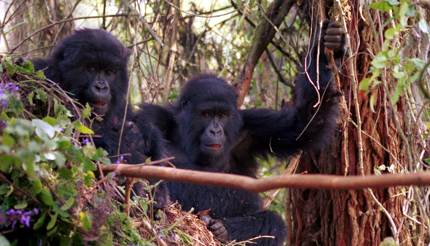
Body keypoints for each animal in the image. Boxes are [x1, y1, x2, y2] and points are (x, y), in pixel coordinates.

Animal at [32, 28, 163, 163]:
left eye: (109, 72)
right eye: (91, 69)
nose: (101, 87)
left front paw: (145, 131)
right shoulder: (42, 75)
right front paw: (129, 138)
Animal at [137, 20, 346, 245]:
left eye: (222, 115)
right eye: (206, 114)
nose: (216, 130)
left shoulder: (252, 128)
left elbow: (303, 125)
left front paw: (325, 51)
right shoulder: (155, 116)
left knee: (274, 222)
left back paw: (224, 230)